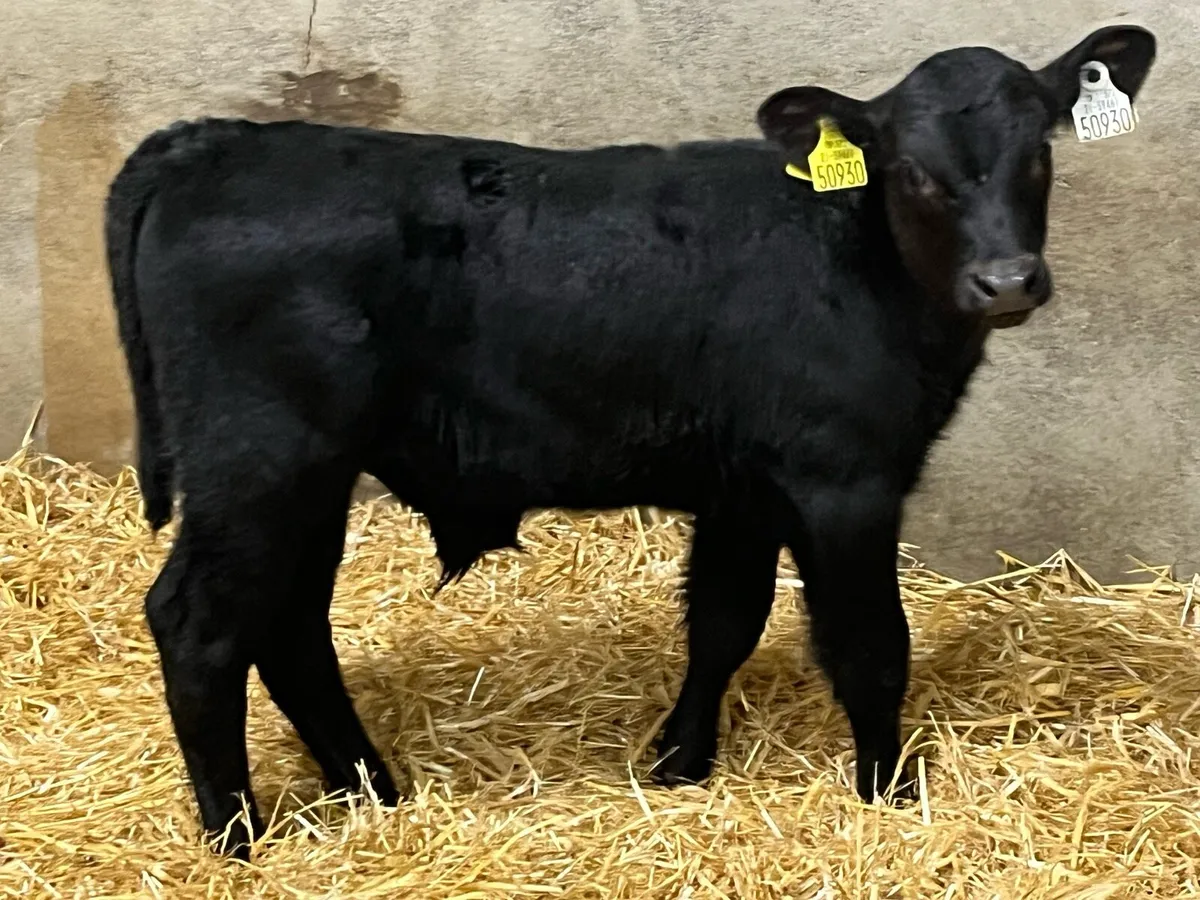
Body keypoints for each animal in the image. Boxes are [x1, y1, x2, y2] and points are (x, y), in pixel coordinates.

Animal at [104, 26, 1156, 856]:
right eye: (915, 173)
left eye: (1038, 155)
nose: (1007, 280)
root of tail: (214, 140)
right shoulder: (846, 479)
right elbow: (870, 644)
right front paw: (888, 793)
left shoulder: (743, 491)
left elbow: (723, 622)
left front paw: (681, 762)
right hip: (260, 461)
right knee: (199, 623)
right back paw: (237, 836)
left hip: (310, 476)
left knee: (289, 627)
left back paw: (371, 788)